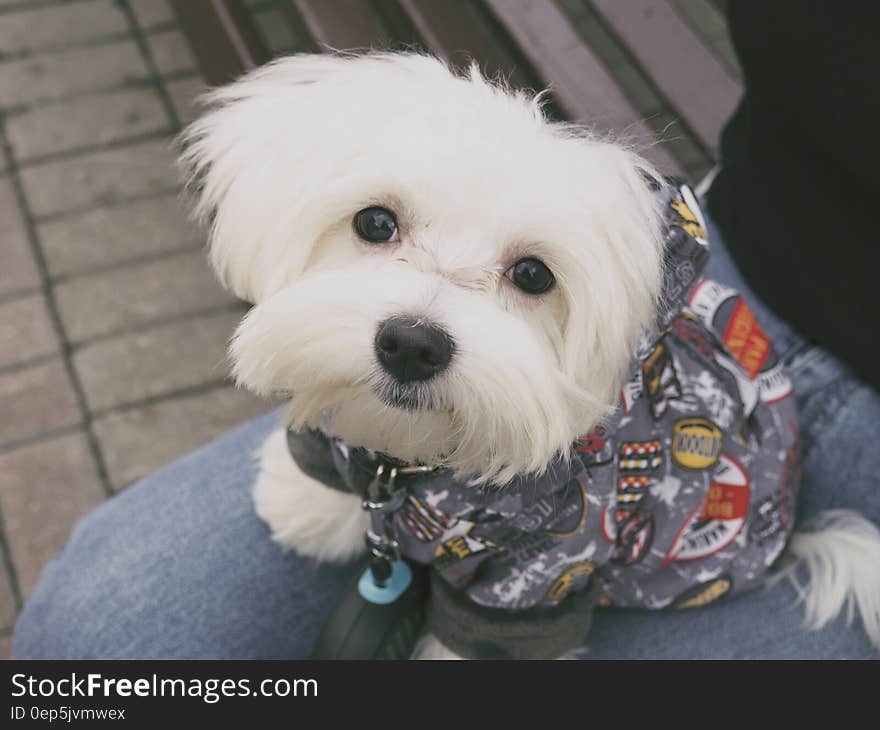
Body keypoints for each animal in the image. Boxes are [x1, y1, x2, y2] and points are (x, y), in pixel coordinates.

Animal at [179, 51, 880, 656]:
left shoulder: (545, 568)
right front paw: (306, 504)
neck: (417, 471)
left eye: (534, 275)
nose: (412, 344)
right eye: (375, 222)